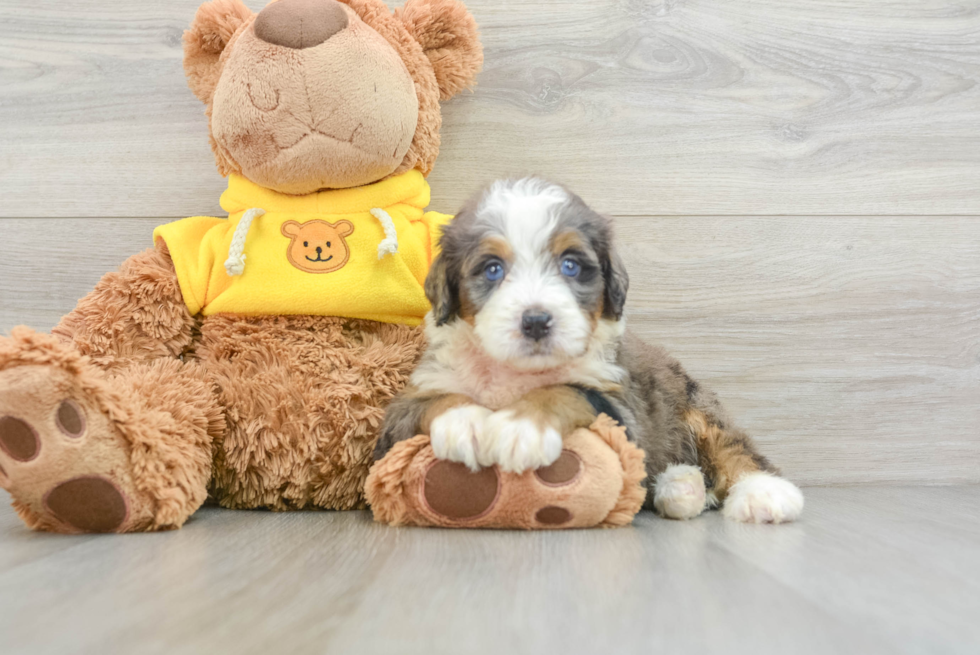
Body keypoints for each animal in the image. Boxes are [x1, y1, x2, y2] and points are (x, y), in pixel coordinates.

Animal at [376, 178, 804, 524]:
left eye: (570, 265)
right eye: (493, 268)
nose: (536, 321)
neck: (518, 373)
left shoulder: (621, 406)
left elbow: (565, 390)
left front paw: (522, 427)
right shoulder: (398, 418)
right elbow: (436, 401)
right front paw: (464, 422)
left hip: (693, 402)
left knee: (733, 446)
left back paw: (763, 493)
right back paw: (681, 487)